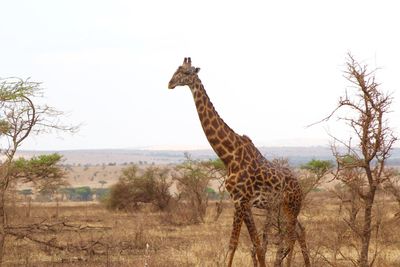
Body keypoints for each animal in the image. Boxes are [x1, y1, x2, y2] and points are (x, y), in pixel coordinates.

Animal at [167, 57, 310, 266]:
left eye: (186, 72)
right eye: (176, 69)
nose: (170, 83)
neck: (229, 156)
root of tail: (300, 185)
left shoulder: (241, 201)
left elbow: (236, 244)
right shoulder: (243, 203)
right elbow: (255, 244)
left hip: (290, 206)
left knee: (292, 236)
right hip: (283, 207)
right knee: (301, 231)